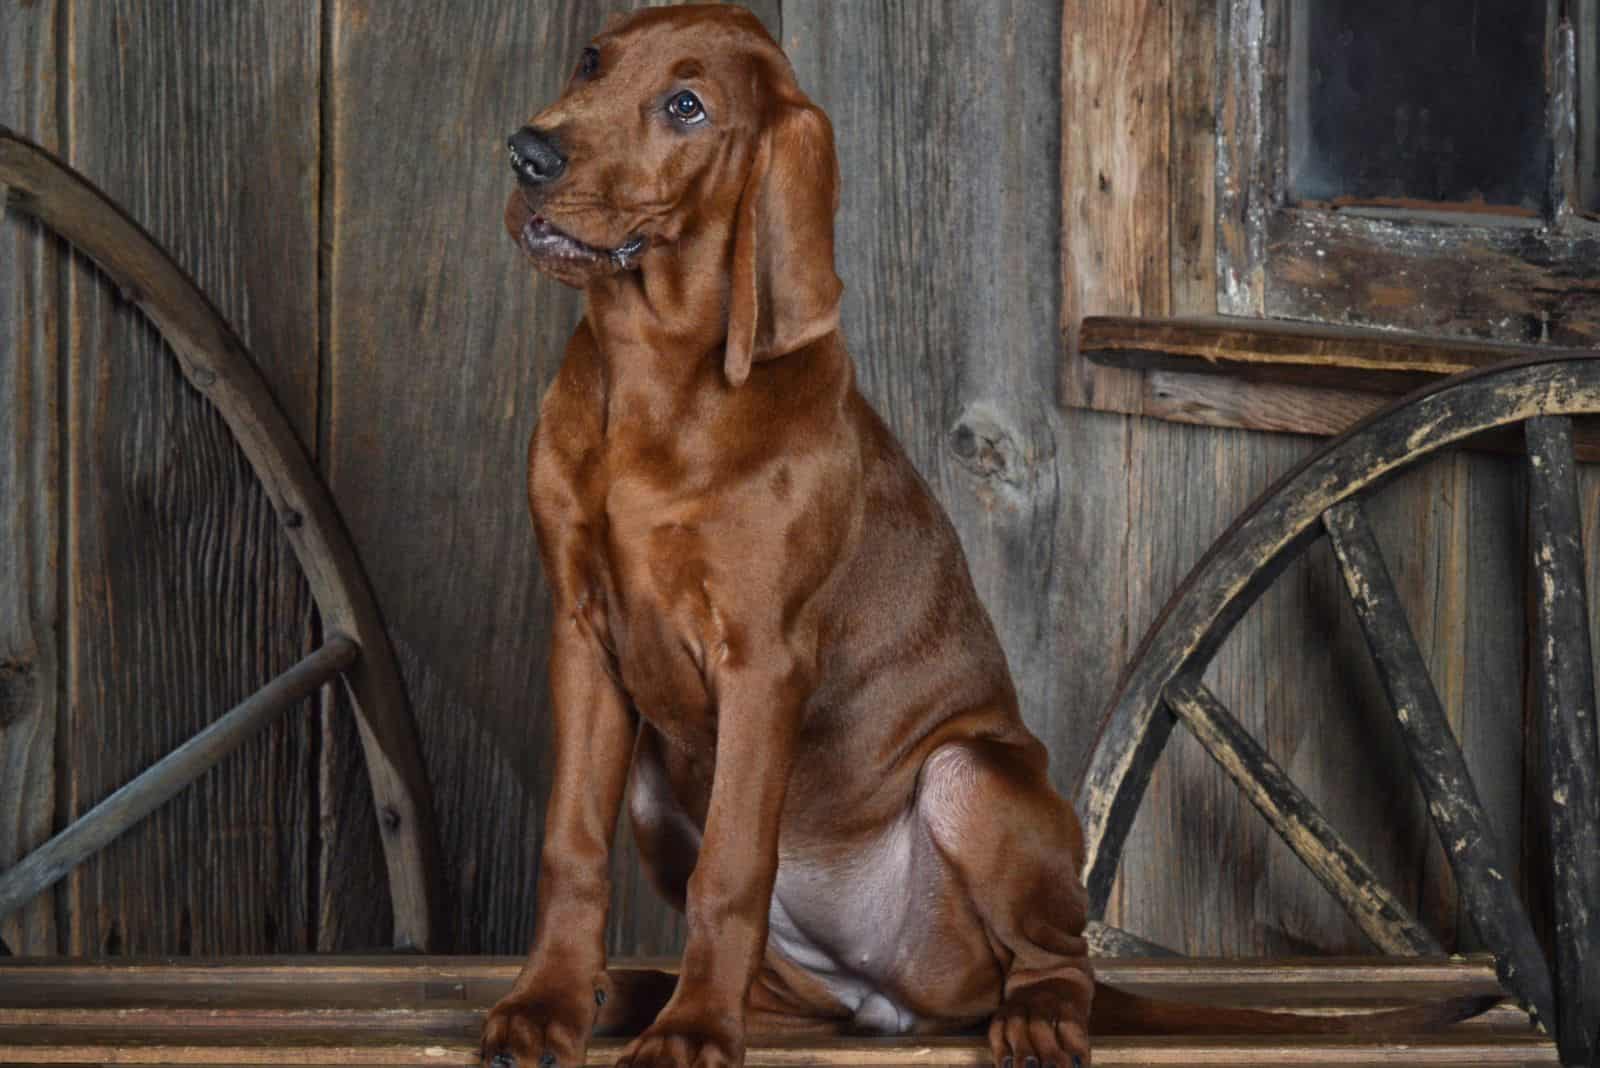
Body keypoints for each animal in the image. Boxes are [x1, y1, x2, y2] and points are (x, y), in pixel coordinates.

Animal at [480, 8, 1478, 1068]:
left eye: (686, 106)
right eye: (591, 60)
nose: (528, 153)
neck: (653, 376)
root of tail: (892, 993)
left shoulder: (762, 660)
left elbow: (733, 869)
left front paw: (695, 1030)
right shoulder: (583, 634)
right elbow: (570, 846)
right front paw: (548, 1002)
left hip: (970, 778)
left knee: (1055, 960)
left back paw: (1025, 1018)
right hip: (662, 794)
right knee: (801, 993)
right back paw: (628, 993)